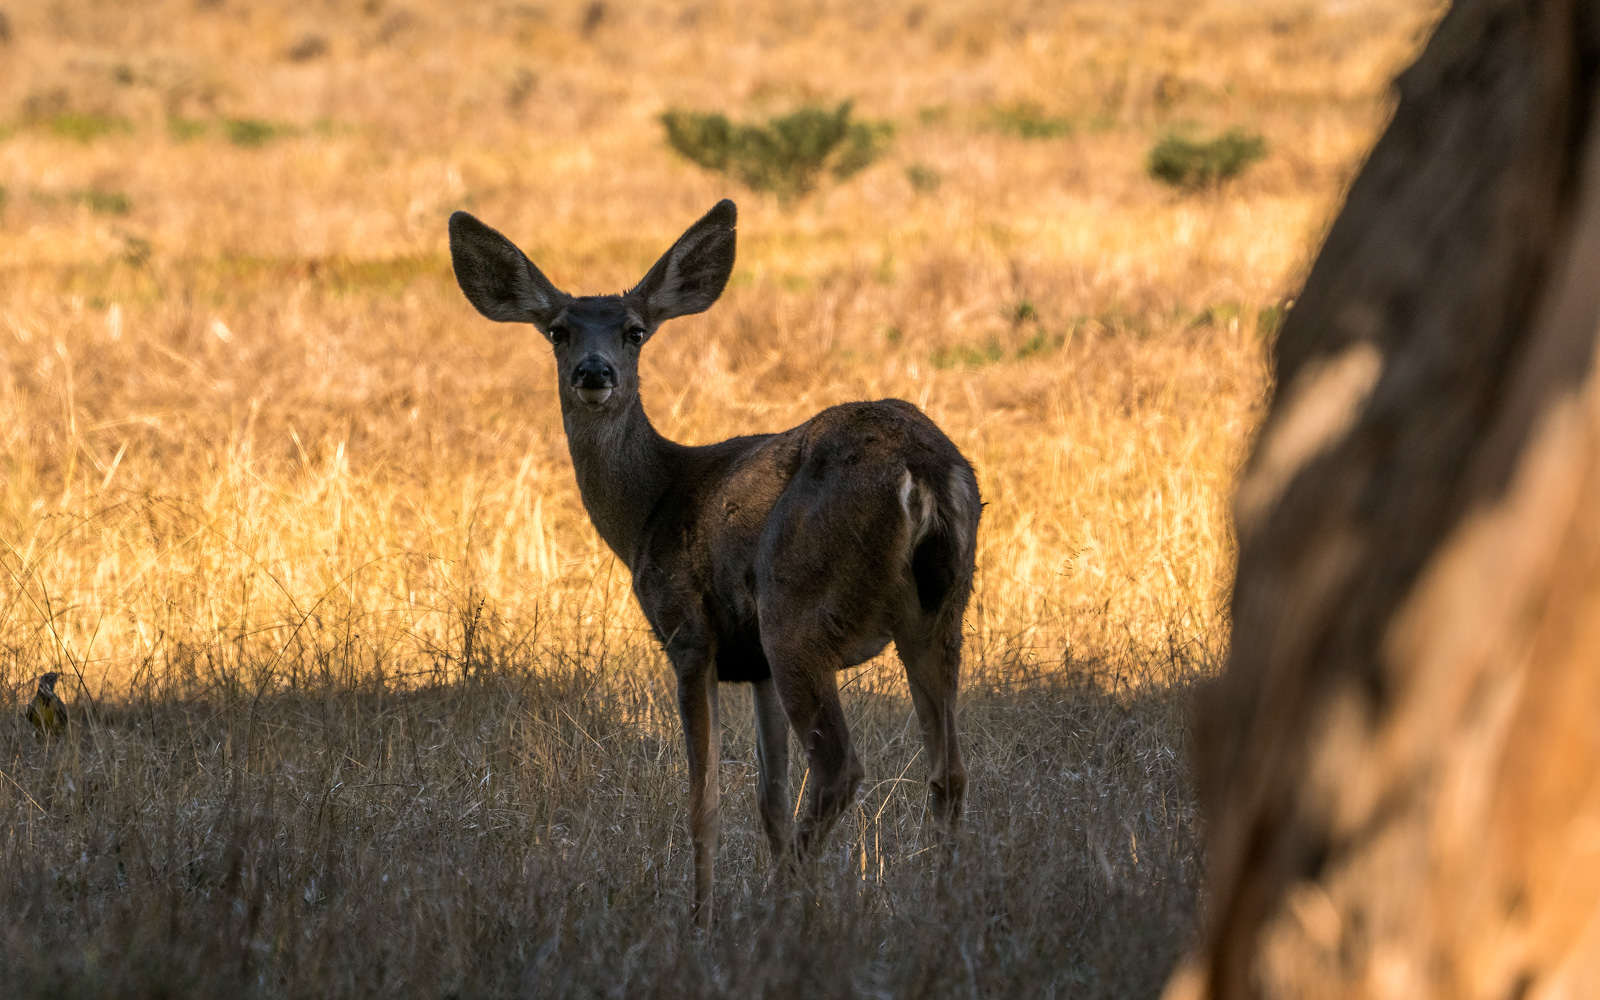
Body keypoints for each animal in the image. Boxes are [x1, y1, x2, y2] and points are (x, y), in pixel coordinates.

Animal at [444, 199, 979, 921]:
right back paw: (937, 904)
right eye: (557, 331)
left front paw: (700, 916)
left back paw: (784, 902)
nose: (594, 372)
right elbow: (769, 798)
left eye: (636, 332)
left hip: (796, 609)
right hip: (939, 613)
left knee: (841, 767)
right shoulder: (751, 666)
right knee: (947, 770)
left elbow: (705, 802)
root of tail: (921, 469)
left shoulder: (690, 633)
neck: (652, 506)